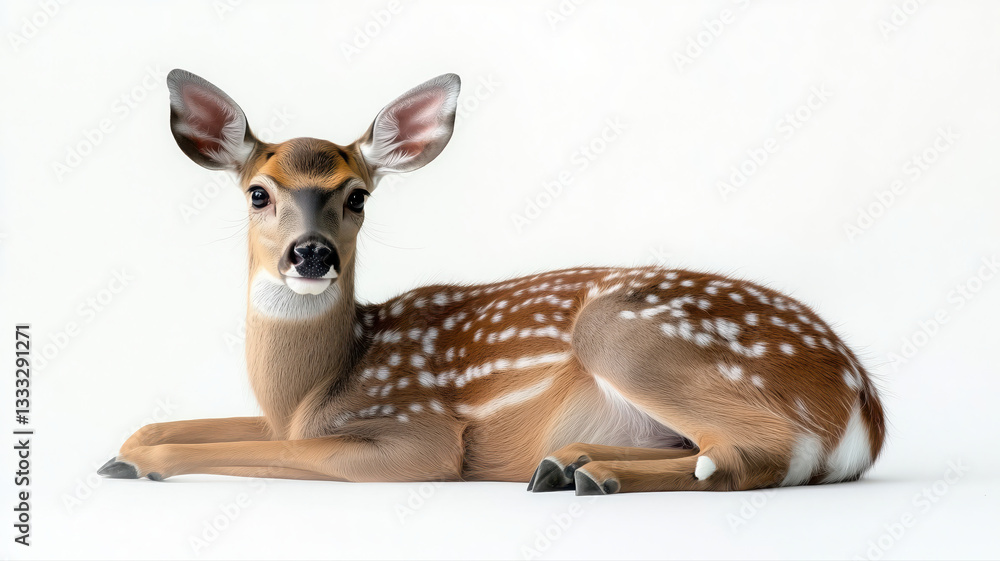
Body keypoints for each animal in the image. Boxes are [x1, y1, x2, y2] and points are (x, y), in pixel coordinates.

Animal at [98, 69, 886, 495]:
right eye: (257, 193)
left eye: (359, 197)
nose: (311, 254)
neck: (311, 388)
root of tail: (862, 408)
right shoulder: (293, 420)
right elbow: (162, 422)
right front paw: (127, 444)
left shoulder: (418, 435)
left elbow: (218, 448)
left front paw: (128, 463)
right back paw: (566, 462)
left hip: (629, 332)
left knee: (751, 451)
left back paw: (592, 475)